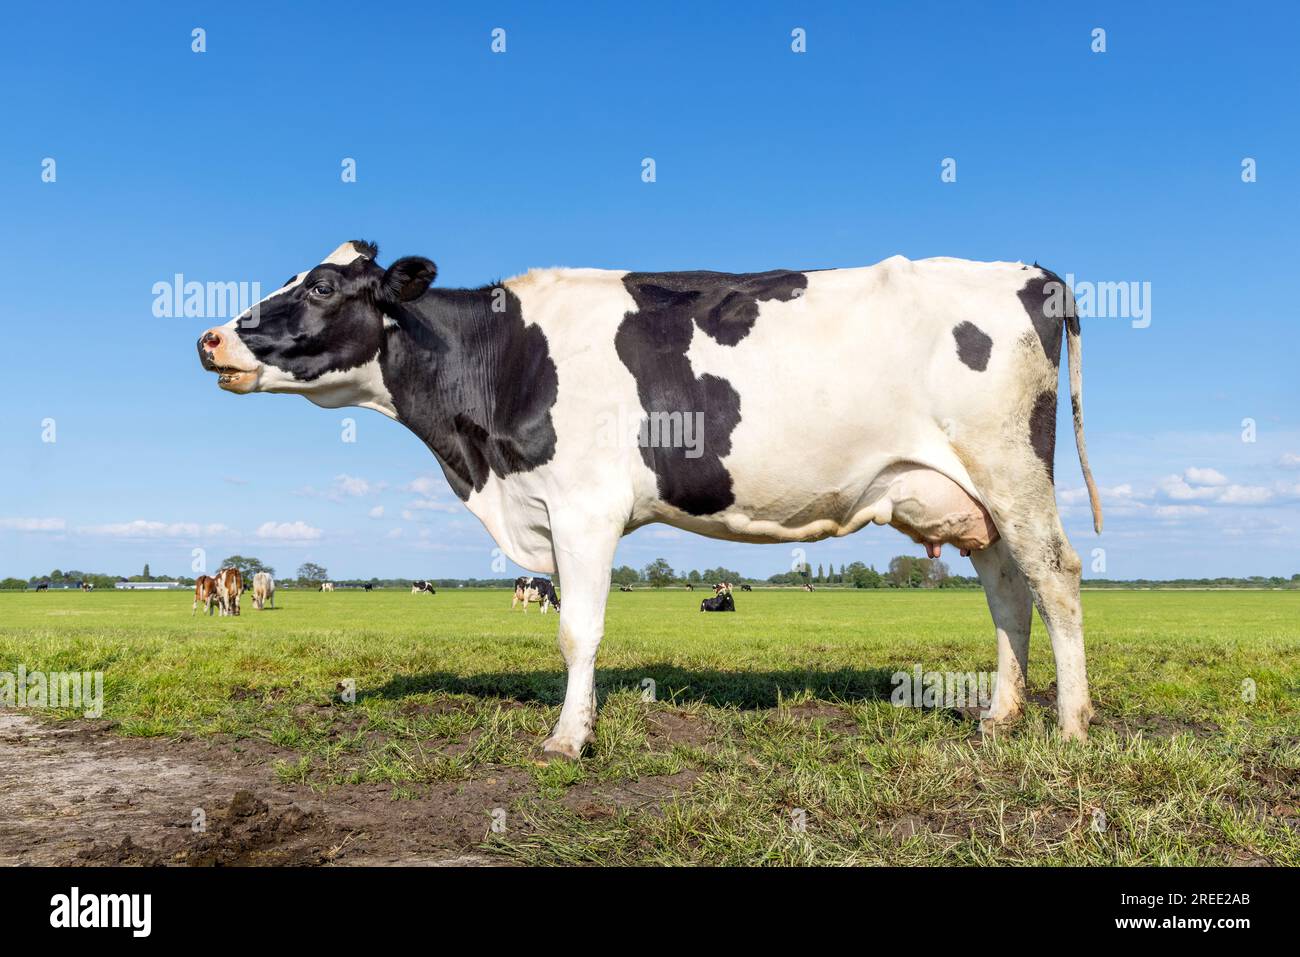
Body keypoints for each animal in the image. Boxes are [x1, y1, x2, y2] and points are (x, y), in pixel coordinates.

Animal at [197, 239, 1102, 754]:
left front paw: (568, 738)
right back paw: (1000, 716)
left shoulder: (584, 506)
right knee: (1008, 590)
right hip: (974, 493)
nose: (211, 337)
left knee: (1055, 575)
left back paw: (1070, 724)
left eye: (321, 287)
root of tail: (1031, 271)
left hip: (1011, 467)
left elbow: (576, 632)